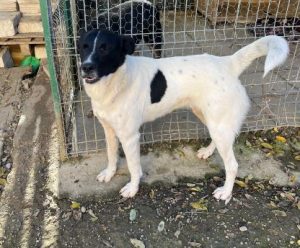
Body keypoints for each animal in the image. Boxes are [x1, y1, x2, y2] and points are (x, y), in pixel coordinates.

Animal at [78, 29, 290, 203]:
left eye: (105, 49)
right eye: (84, 47)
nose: (85, 67)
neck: (116, 80)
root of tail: (227, 63)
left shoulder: (130, 137)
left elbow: (133, 166)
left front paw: (133, 188)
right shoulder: (109, 130)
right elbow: (111, 155)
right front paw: (109, 174)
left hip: (219, 123)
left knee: (232, 165)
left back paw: (226, 193)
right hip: (210, 119)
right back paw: (208, 152)